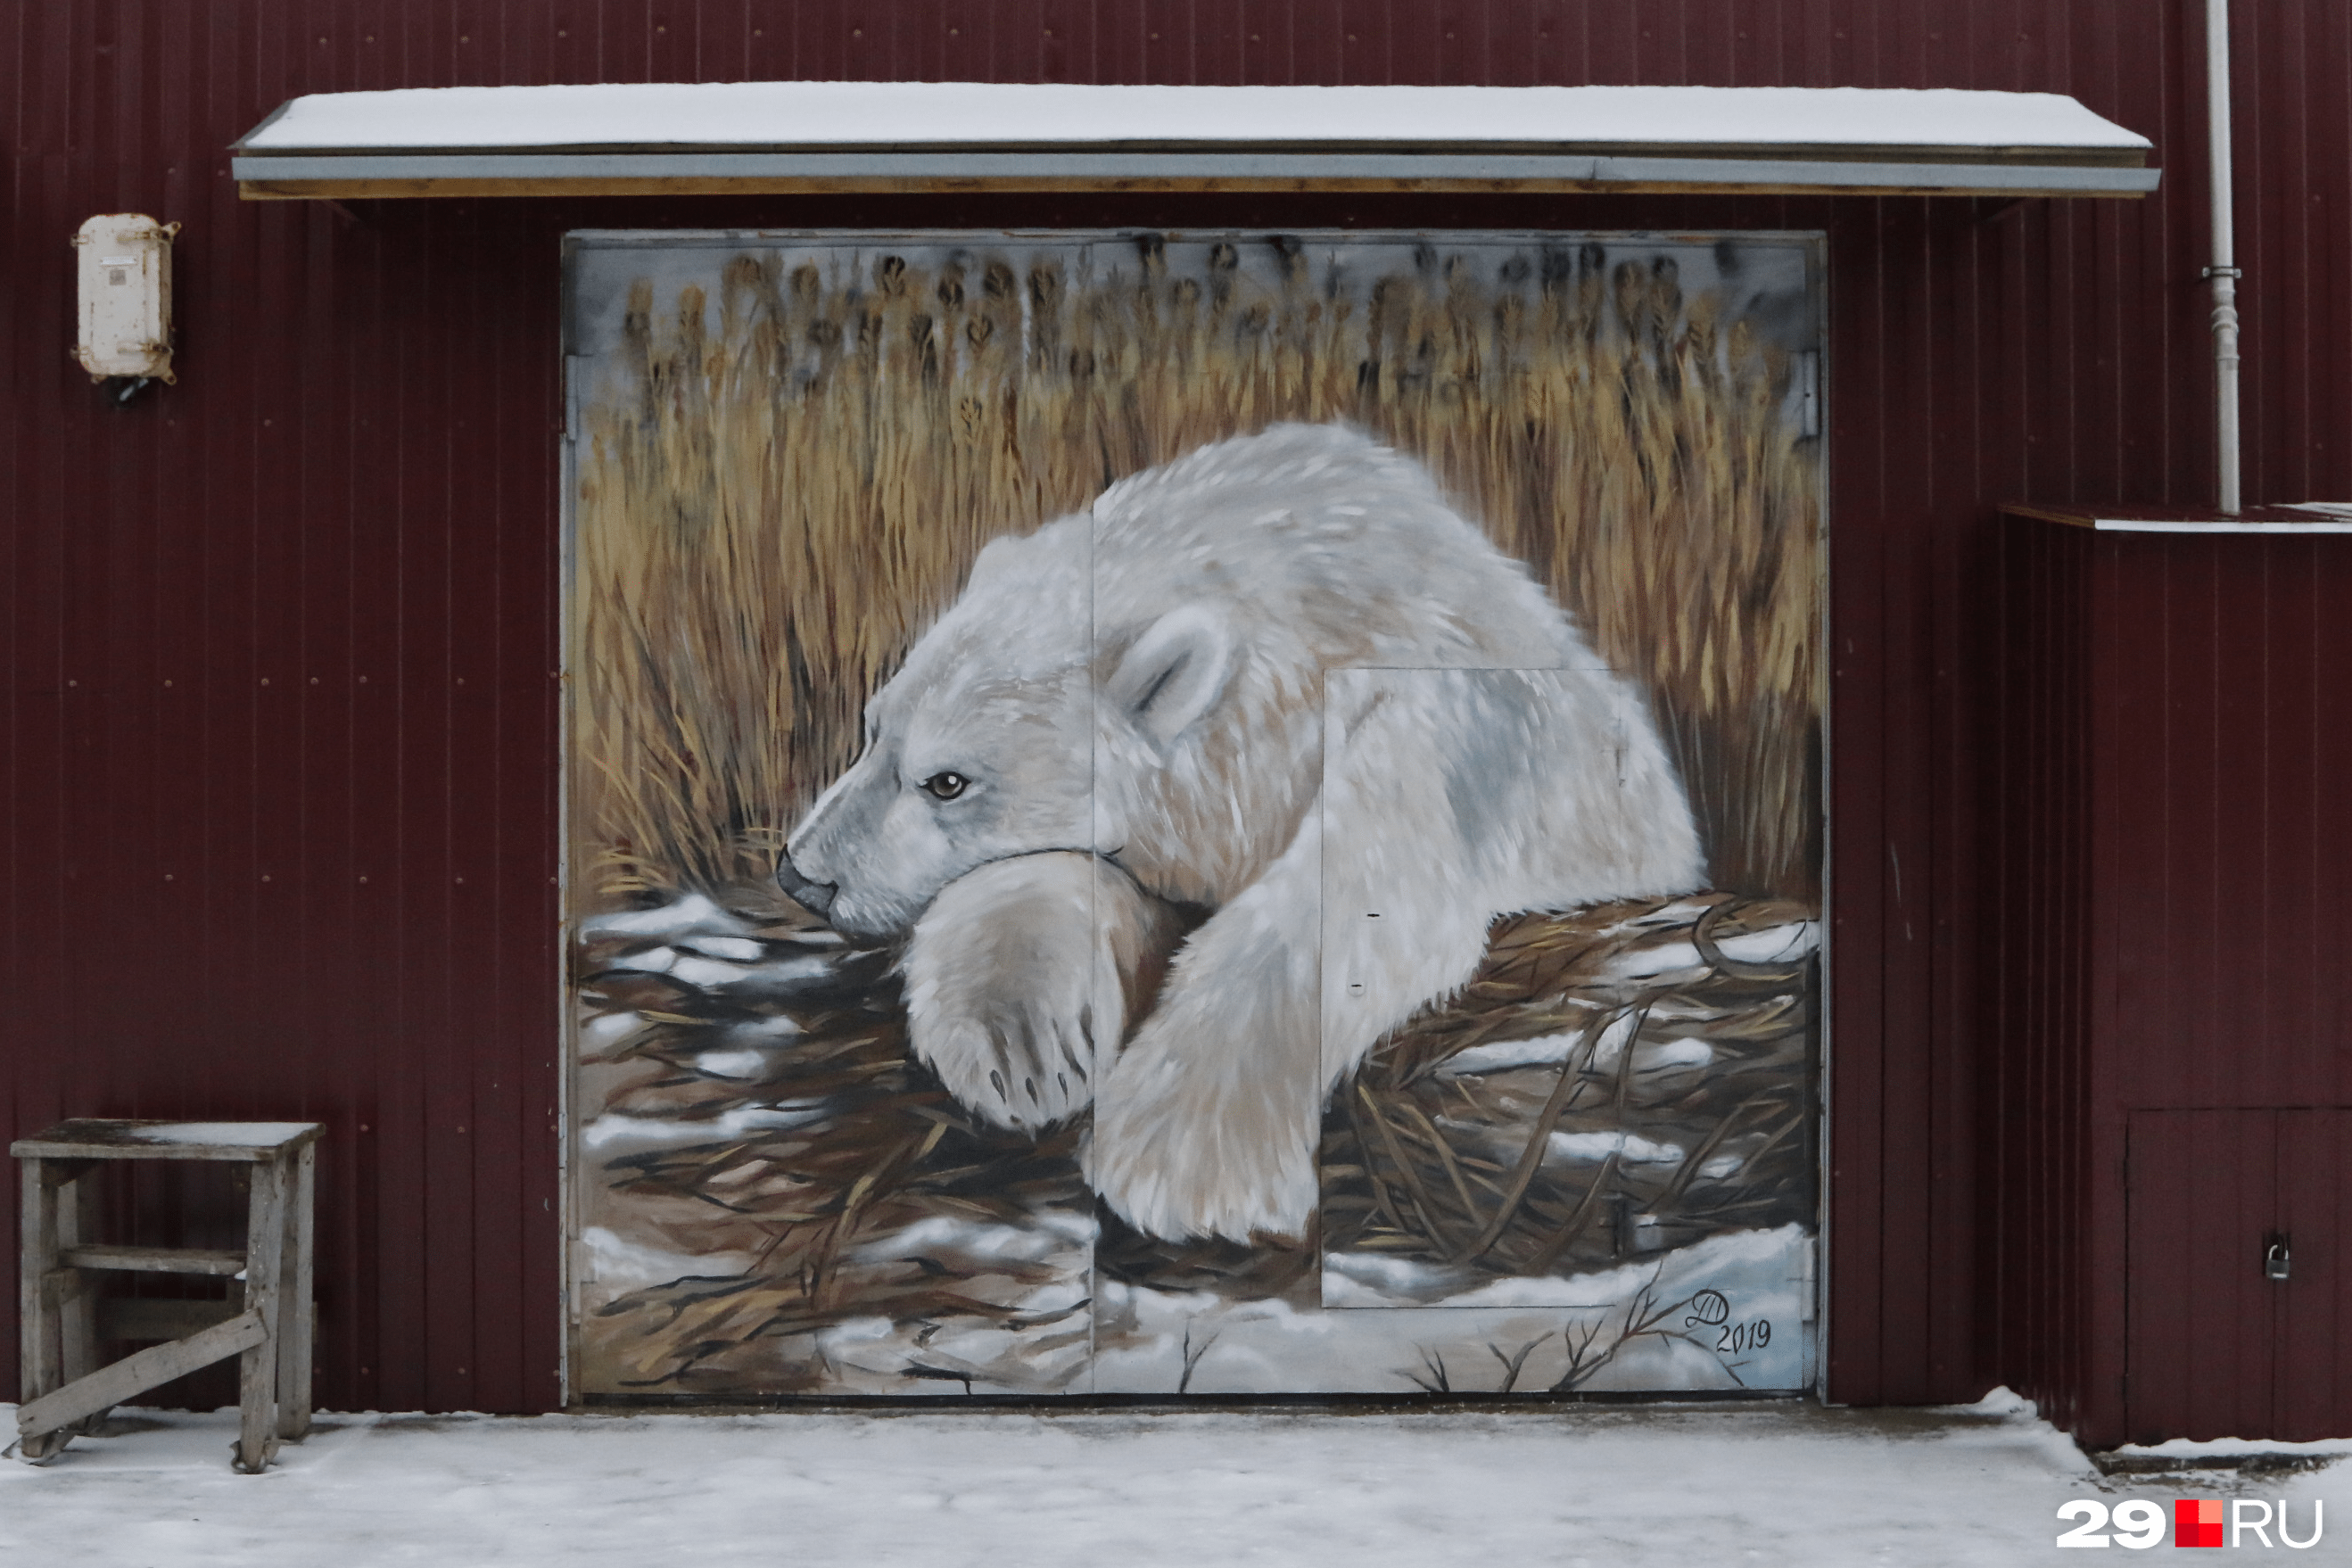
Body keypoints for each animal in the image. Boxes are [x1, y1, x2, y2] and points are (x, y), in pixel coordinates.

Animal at [780, 423, 1703, 1241]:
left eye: (946, 781)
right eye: (871, 729)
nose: (803, 874)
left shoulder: (1447, 727)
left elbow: (1362, 890)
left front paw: (1184, 1168)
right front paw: (1025, 1050)